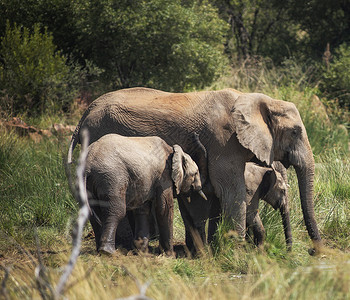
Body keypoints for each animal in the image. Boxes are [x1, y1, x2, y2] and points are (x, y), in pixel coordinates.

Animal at [67, 86, 322, 253]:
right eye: (296, 132)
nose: (313, 251)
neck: (253, 98)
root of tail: (84, 115)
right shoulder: (223, 142)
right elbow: (232, 191)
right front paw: (235, 249)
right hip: (99, 137)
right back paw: (119, 248)